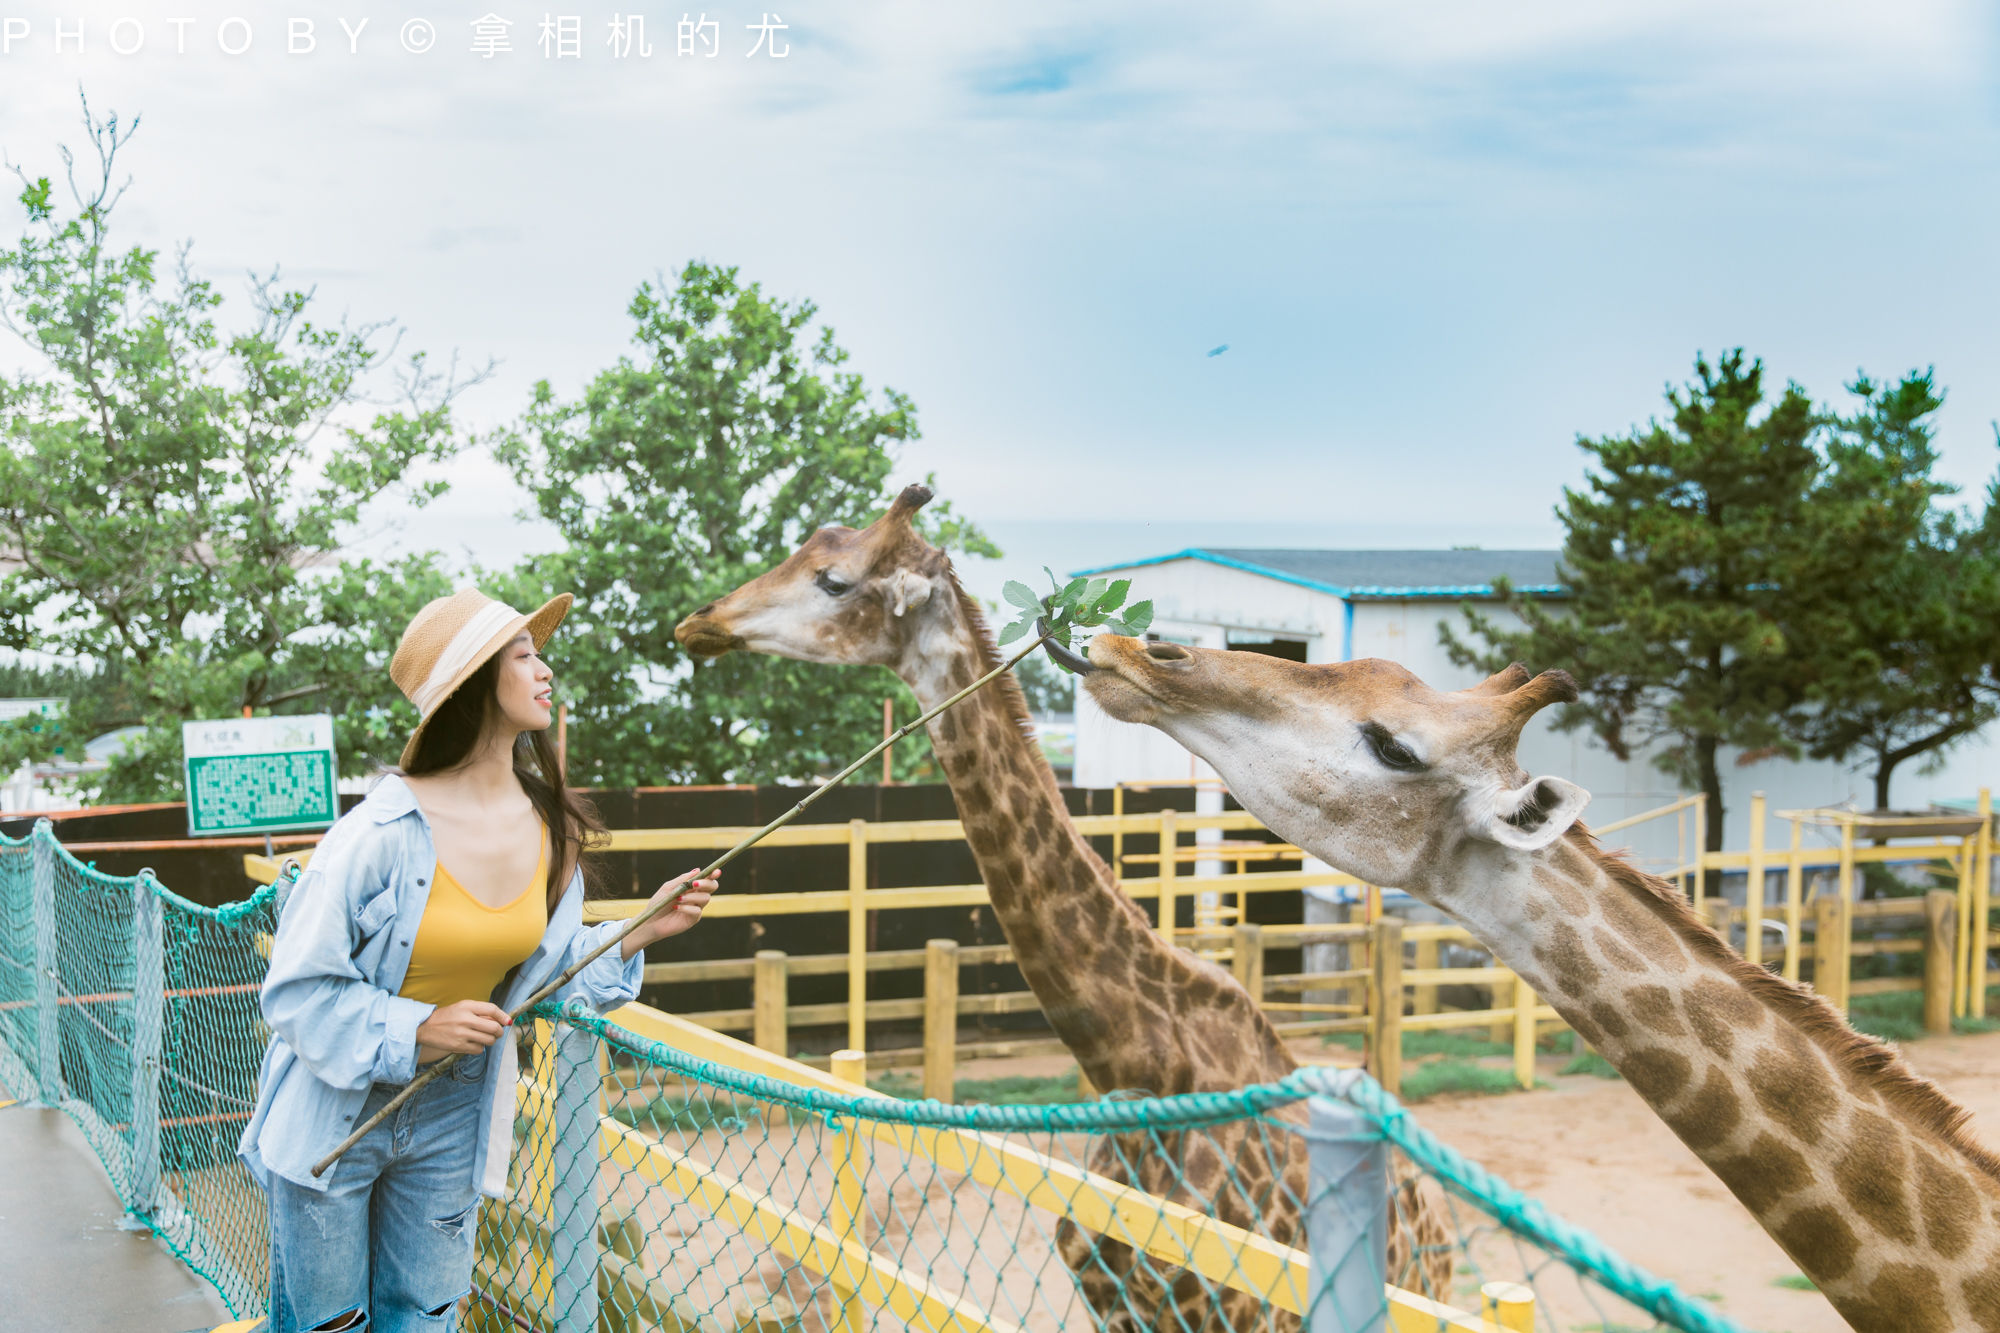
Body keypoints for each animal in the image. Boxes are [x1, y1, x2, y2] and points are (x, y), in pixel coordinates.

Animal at [676, 482, 1456, 1320]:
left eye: (834, 580)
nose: (700, 621)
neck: (1135, 1063)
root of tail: (1436, 1212)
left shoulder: (1238, 1309)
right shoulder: (1110, 1301)